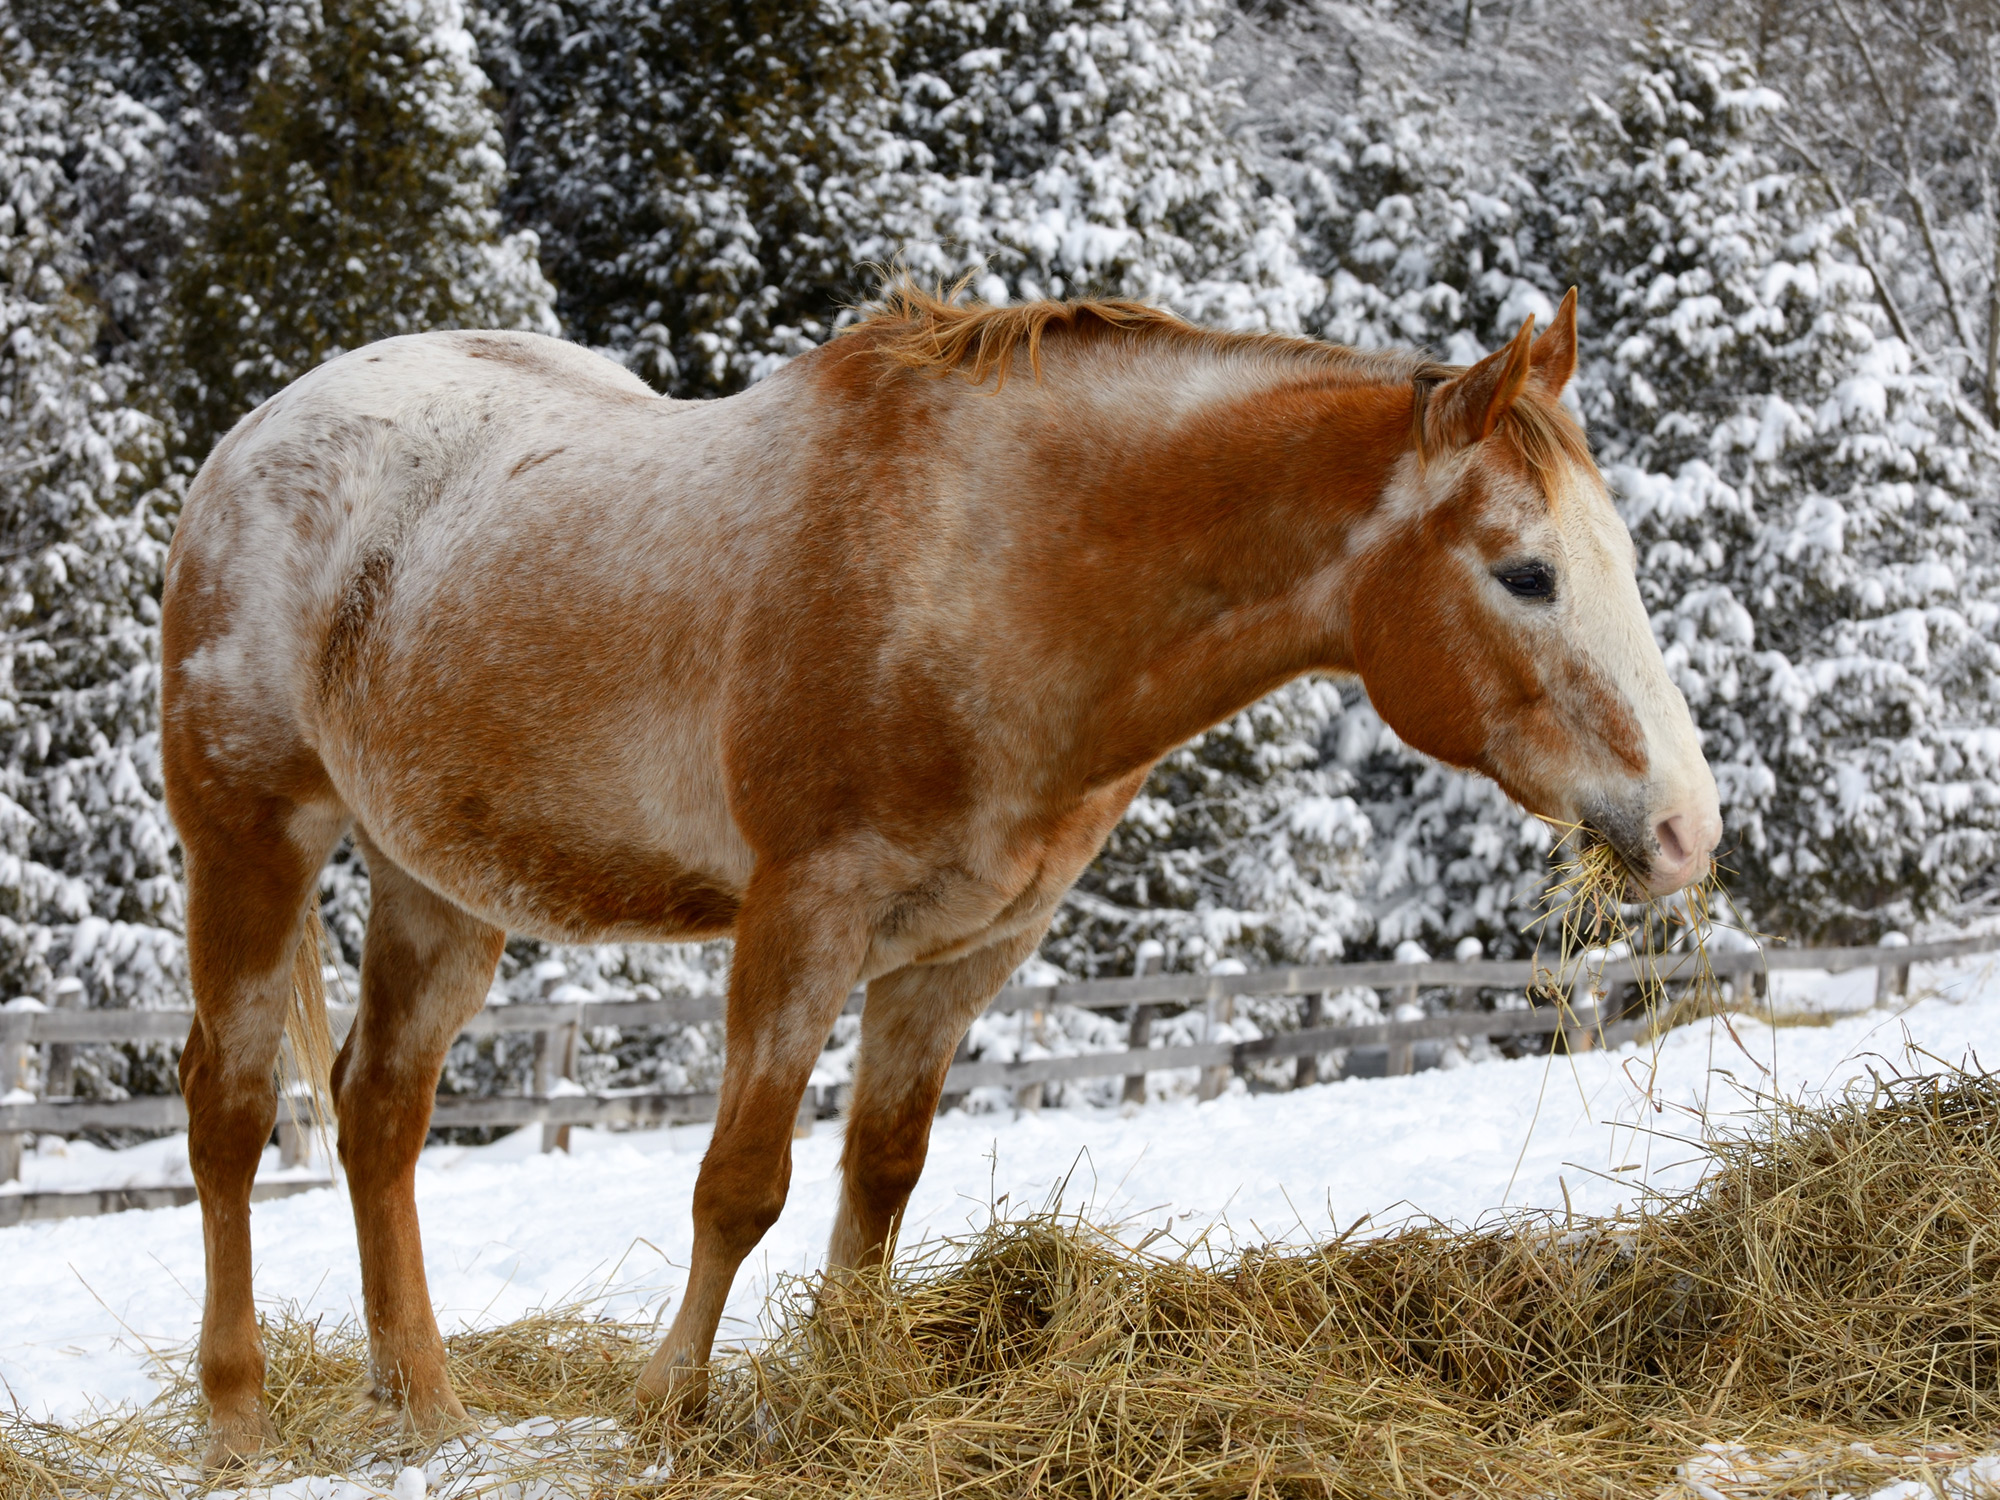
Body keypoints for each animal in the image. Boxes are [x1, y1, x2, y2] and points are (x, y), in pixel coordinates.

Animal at [159, 283, 1721, 1467]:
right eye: (1524, 573)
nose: (1687, 830)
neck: (994, 573)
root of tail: (258, 437)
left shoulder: (961, 952)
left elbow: (881, 1179)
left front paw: (844, 1392)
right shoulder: (806, 915)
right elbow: (741, 1185)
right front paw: (667, 1413)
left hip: (442, 887)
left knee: (379, 1114)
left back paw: (425, 1411)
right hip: (251, 835)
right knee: (230, 1116)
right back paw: (236, 1419)